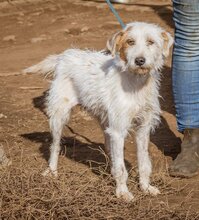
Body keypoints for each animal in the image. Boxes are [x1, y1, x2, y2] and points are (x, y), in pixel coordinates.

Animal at [24, 21, 173, 201]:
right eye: (130, 42)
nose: (139, 60)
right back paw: (52, 171)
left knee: (110, 150)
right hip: (59, 116)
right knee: (55, 146)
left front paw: (145, 187)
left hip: (104, 120)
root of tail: (65, 56)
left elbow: (144, 163)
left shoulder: (143, 128)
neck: (136, 82)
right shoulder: (118, 130)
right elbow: (122, 169)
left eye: (151, 42)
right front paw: (123, 193)